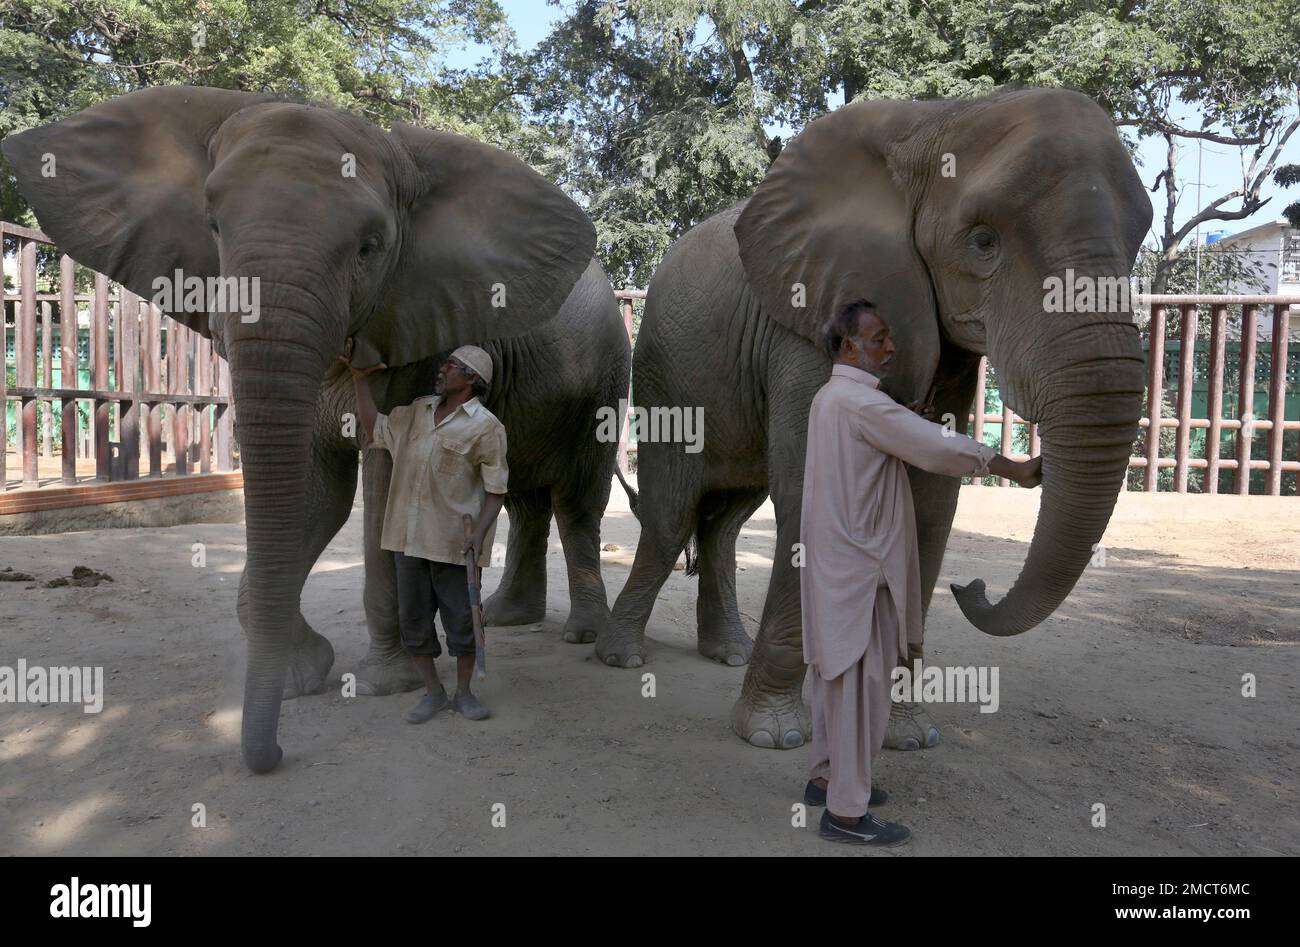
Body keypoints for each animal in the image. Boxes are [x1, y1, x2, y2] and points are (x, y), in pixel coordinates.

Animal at [3, 86, 628, 773]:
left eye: (370, 247)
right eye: (213, 225)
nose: (271, 756)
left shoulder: (417, 334)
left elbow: (381, 485)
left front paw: (385, 683)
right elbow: (315, 497)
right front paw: (305, 675)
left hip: (606, 382)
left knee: (576, 501)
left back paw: (583, 635)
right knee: (521, 497)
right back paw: (505, 616)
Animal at [601, 89, 1152, 751]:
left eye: (1140, 239)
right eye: (983, 242)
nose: (971, 588)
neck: (939, 121)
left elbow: (933, 503)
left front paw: (910, 738)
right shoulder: (808, 320)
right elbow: (806, 488)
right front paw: (775, 734)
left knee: (726, 520)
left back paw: (727, 652)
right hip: (665, 373)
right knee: (671, 514)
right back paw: (623, 657)